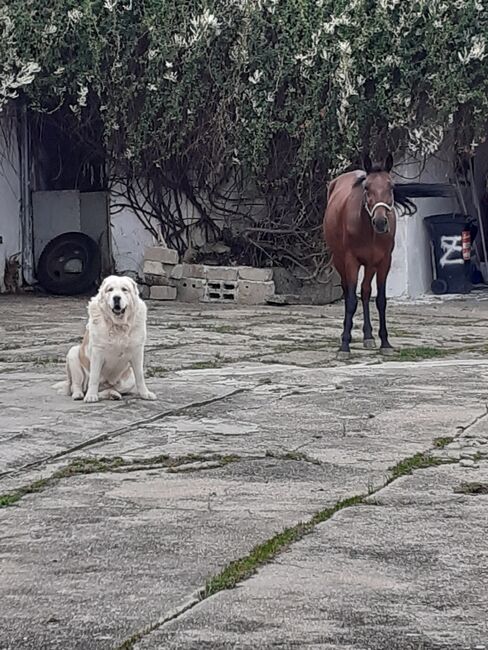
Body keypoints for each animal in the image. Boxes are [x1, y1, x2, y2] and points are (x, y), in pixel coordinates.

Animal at [324, 154, 450, 356]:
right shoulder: (351, 261)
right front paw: (344, 345)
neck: (368, 230)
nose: (381, 222)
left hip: (370, 265)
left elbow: (381, 300)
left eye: (391, 186)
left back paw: (368, 336)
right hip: (340, 260)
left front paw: (385, 342)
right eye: (367, 187)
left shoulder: (384, 262)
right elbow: (350, 300)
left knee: (365, 291)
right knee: (348, 290)